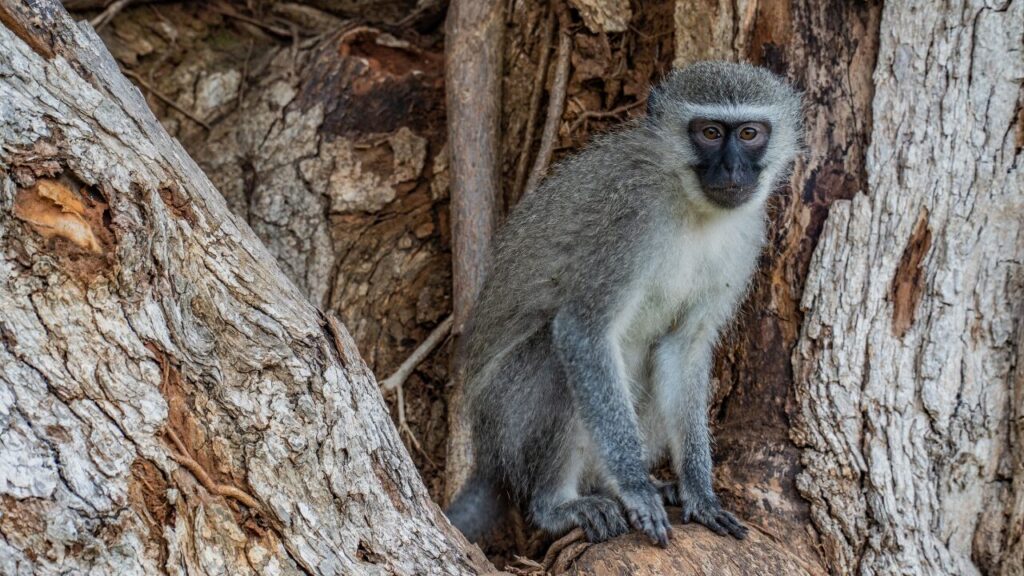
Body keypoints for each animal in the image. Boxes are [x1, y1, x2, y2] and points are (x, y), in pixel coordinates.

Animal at [445, 61, 803, 548]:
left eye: (749, 133)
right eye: (710, 133)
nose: (732, 167)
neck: (693, 207)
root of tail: (486, 452)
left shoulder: (746, 237)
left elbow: (682, 349)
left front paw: (699, 490)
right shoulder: (631, 217)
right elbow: (582, 331)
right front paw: (635, 487)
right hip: (506, 419)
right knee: (555, 360)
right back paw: (558, 505)